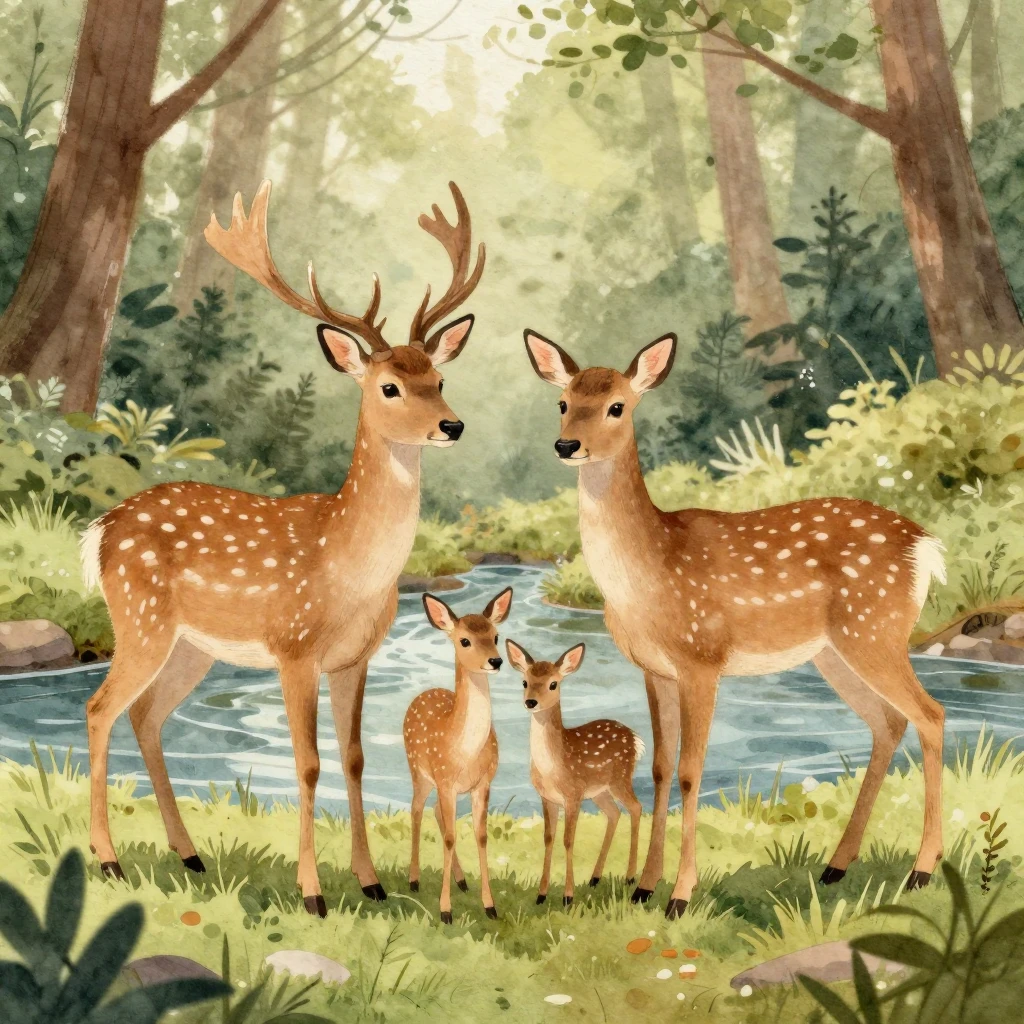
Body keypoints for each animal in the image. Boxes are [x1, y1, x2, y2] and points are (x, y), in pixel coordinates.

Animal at [78, 178, 485, 917]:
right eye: (389, 385)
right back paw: (110, 858)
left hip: (190, 647)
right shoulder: (294, 649)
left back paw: (189, 854)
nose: (452, 424)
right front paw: (313, 893)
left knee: (145, 717)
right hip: (141, 620)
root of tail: (102, 529)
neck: (348, 567)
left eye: (438, 378)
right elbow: (309, 761)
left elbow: (353, 758)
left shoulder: (355, 656)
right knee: (100, 709)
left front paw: (371, 882)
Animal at [403, 587, 513, 923]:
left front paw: (490, 906)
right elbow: (451, 837)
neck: (465, 751)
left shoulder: (484, 783)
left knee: (436, 811)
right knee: (416, 809)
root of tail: (423, 694)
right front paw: (445, 911)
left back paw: (462, 880)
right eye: (464, 640)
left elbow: (481, 835)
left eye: (495, 635)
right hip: (419, 771)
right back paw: (413, 880)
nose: (496, 660)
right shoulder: (445, 780)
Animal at [505, 639, 643, 907]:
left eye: (553, 683)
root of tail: (635, 738)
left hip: (620, 779)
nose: (530, 702)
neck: (553, 767)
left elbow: (568, 840)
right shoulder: (547, 797)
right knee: (614, 813)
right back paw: (595, 878)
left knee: (636, 807)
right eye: (525, 682)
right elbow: (548, 838)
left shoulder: (574, 794)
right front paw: (541, 894)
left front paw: (568, 897)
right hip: (600, 791)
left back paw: (630, 877)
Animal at [522, 329, 947, 919]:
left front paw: (680, 895)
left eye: (617, 406)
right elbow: (659, 768)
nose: (567, 446)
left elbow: (690, 770)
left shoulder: (702, 657)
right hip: (834, 652)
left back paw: (921, 870)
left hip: (875, 630)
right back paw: (836, 866)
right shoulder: (655, 669)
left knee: (932, 715)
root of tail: (926, 547)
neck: (650, 569)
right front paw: (643, 887)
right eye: (563, 403)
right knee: (888, 724)